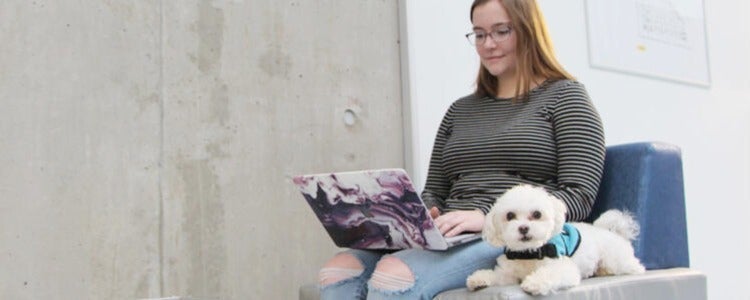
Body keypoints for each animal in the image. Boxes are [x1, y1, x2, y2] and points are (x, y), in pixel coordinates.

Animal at [464, 184, 648, 294]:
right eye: (510, 216)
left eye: (537, 214)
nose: (523, 228)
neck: (528, 254)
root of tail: (615, 233)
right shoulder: (508, 273)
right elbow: (497, 276)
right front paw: (479, 279)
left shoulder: (563, 267)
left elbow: (551, 273)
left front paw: (535, 282)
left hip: (617, 260)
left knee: (635, 267)